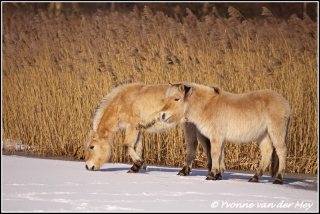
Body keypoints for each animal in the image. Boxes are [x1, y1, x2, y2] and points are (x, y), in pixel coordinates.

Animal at [84, 81, 220, 178]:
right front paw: (137, 167)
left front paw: (139, 164)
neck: (121, 101)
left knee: (192, 145)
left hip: (188, 125)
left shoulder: (132, 126)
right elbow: (137, 147)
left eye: (92, 147)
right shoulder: (138, 128)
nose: (87, 167)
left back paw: (185, 171)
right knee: (206, 146)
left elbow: (127, 145)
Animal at [160, 82, 290, 184]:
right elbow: (220, 155)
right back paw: (255, 178)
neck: (208, 106)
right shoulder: (219, 138)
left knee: (281, 151)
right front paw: (218, 175)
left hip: (276, 132)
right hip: (263, 135)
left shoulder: (216, 137)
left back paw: (279, 179)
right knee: (267, 153)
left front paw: (211, 175)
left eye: (176, 99)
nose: (162, 115)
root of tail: (286, 102)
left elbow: (214, 154)